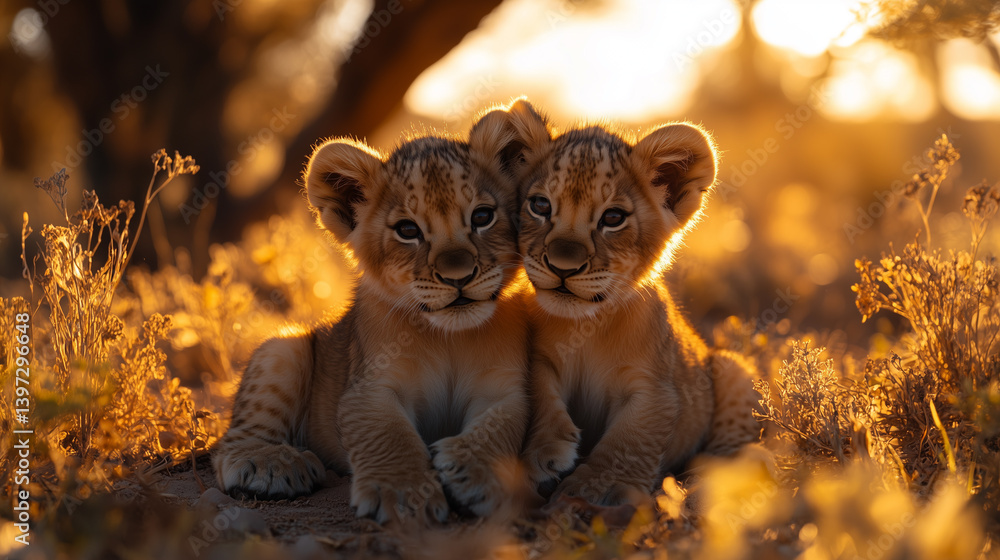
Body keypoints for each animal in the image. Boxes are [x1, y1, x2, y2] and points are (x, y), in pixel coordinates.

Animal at [212, 100, 546, 523]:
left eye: (482, 217)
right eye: (408, 230)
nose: (458, 276)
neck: (449, 338)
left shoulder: (503, 389)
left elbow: (498, 427)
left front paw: (475, 474)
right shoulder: (368, 387)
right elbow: (388, 435)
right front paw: (402, 494)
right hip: (283, 347)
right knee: (233, 440)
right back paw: (270, 463)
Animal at [507, 111, 761, 506]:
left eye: (613, 218)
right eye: (541, 206)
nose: (563, 267)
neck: (585, 327)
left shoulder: (655, 388)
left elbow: (627, 441)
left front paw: (594, 490)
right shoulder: (540, 358)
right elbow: (542, 394)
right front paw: (544, 457)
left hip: (732, 366)